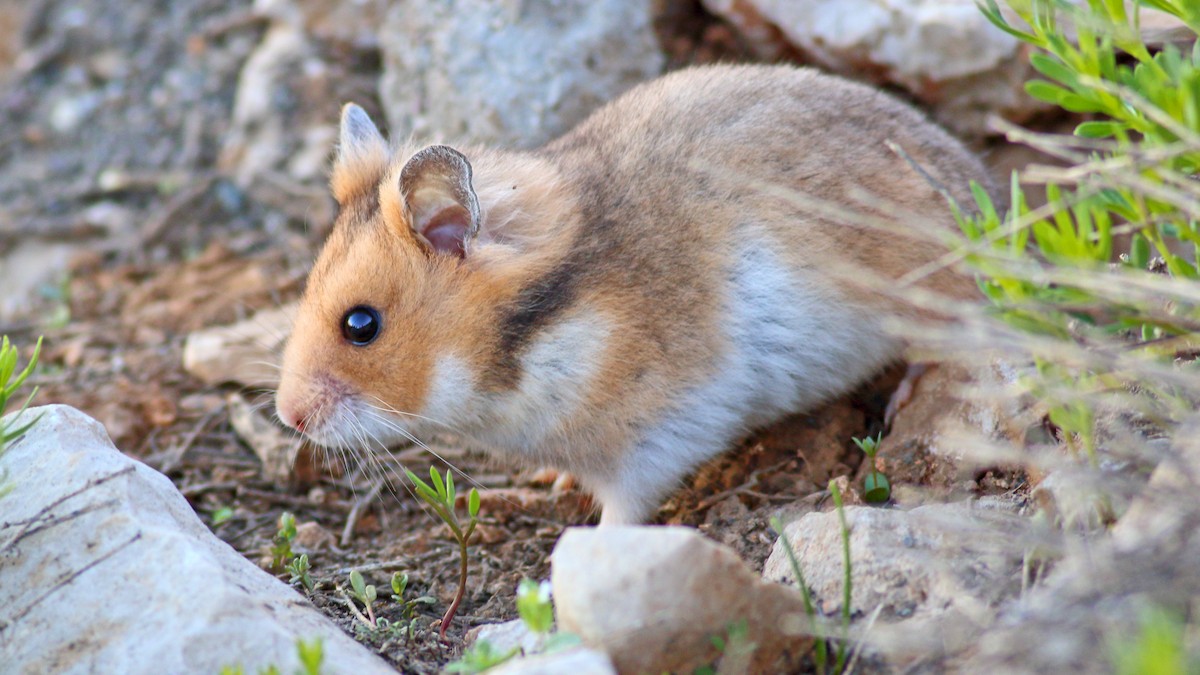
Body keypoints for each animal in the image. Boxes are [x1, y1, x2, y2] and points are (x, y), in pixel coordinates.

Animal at [275, 64, 991, 526]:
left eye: (361, 324)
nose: (288, 418)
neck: (532, 339)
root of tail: (986, 198)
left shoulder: (655, 443)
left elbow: (621, 516)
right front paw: (551, 481)